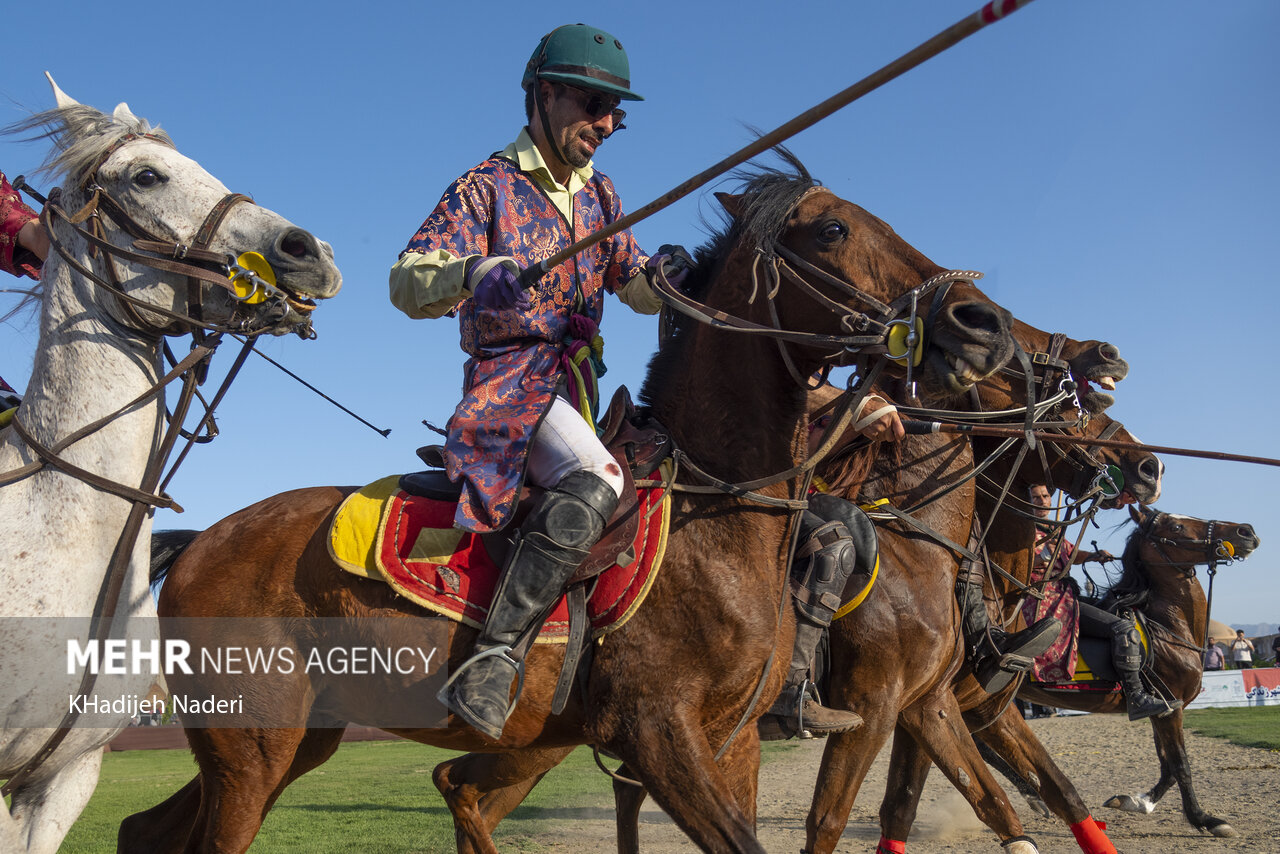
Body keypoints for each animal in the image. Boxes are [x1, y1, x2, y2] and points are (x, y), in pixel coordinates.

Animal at [120, 155, 1018, 854]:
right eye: (831, 230)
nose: (984, 323)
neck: (721, 514)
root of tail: (200, 541)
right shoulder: (660, 736)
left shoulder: (735, 743)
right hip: (253, 750)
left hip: (294, 743)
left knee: (141, 830)